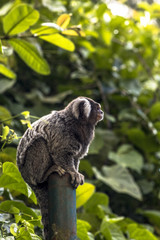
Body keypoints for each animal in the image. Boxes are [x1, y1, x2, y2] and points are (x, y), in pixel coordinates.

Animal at [16, 96, 104, 239]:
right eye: (97, 108)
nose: (101, 112)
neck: (77, 123)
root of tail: (26, 179)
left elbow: (75, 158)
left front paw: (76, 172)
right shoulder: (62, 132)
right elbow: (61, 153)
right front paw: (73, 172)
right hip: (29, 169)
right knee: (39, 142)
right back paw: (45, 174)